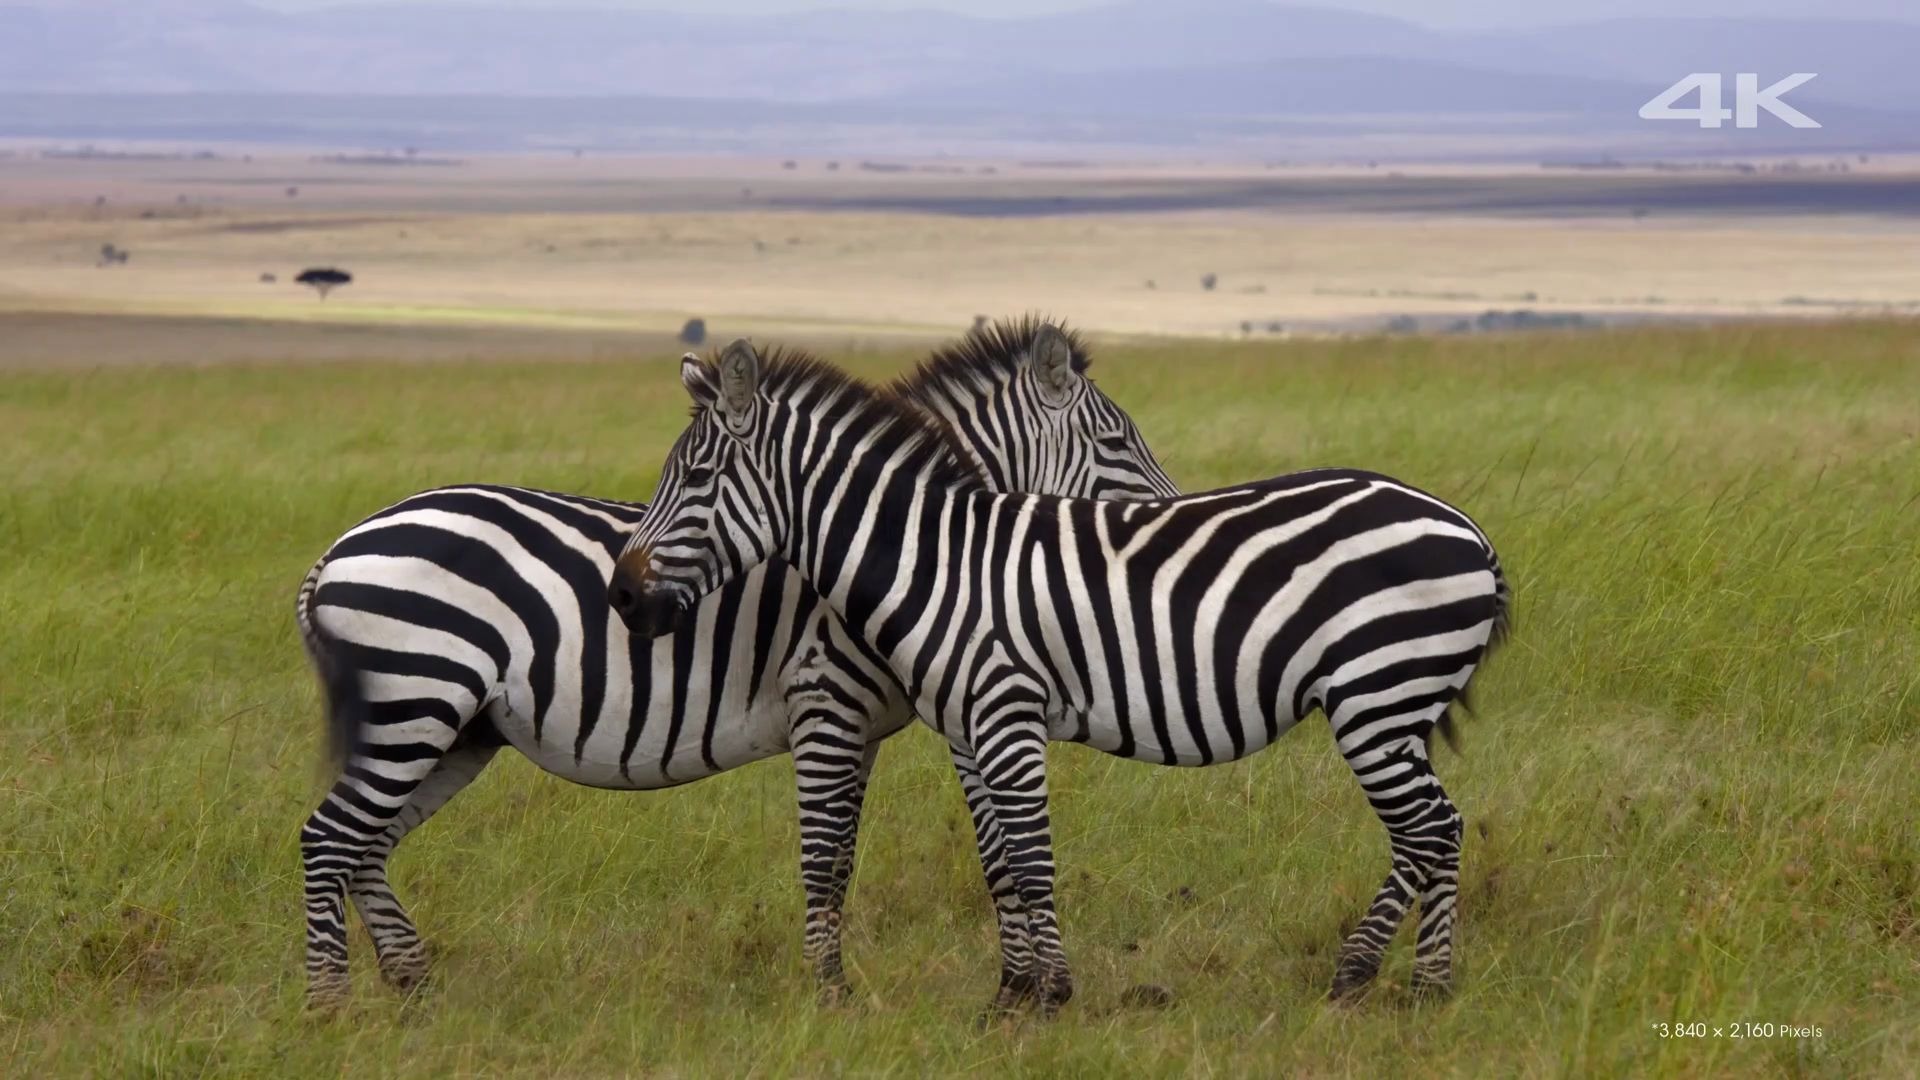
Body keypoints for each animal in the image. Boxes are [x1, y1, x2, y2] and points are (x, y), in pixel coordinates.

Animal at [295, 315, 1182, 1006]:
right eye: (1117, 440)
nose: (1173, 517)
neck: (919, 544)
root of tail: (337, 549)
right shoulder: (829, 702)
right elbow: (832, 857)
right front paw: (833, 995)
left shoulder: (916, 715)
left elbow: (960, 851)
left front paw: (1011, 990)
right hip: (416, 702)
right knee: (329, 839)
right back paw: (329, 1007)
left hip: (452, 728)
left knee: (367, 845)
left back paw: (410, 985)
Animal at [606, 340, 1505, 1014]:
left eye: (694, 480)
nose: (620, 596)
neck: (940, 562)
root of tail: (1469, 530)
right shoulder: (969, 725)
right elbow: (1002, 859)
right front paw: (1013, 995)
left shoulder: (1007, 711)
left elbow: (1032, 856)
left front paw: (1052, 997)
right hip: (1395, 707)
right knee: (1435, 830)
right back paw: (1410, 985)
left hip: (1376, 697)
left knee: (1433, 829)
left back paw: (1382, 980)